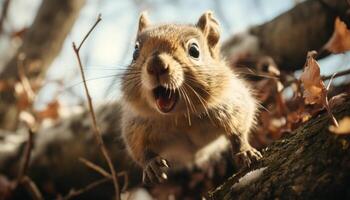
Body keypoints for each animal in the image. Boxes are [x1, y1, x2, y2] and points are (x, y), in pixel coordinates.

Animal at [121, 10, 262, 184]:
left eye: (194, 51)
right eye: (135, 53)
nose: (156, 64)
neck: (181, 116)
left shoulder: (233, 104)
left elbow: (238, 131)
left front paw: (245, 151)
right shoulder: (135, 125)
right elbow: (139, 148)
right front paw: (151, 164)